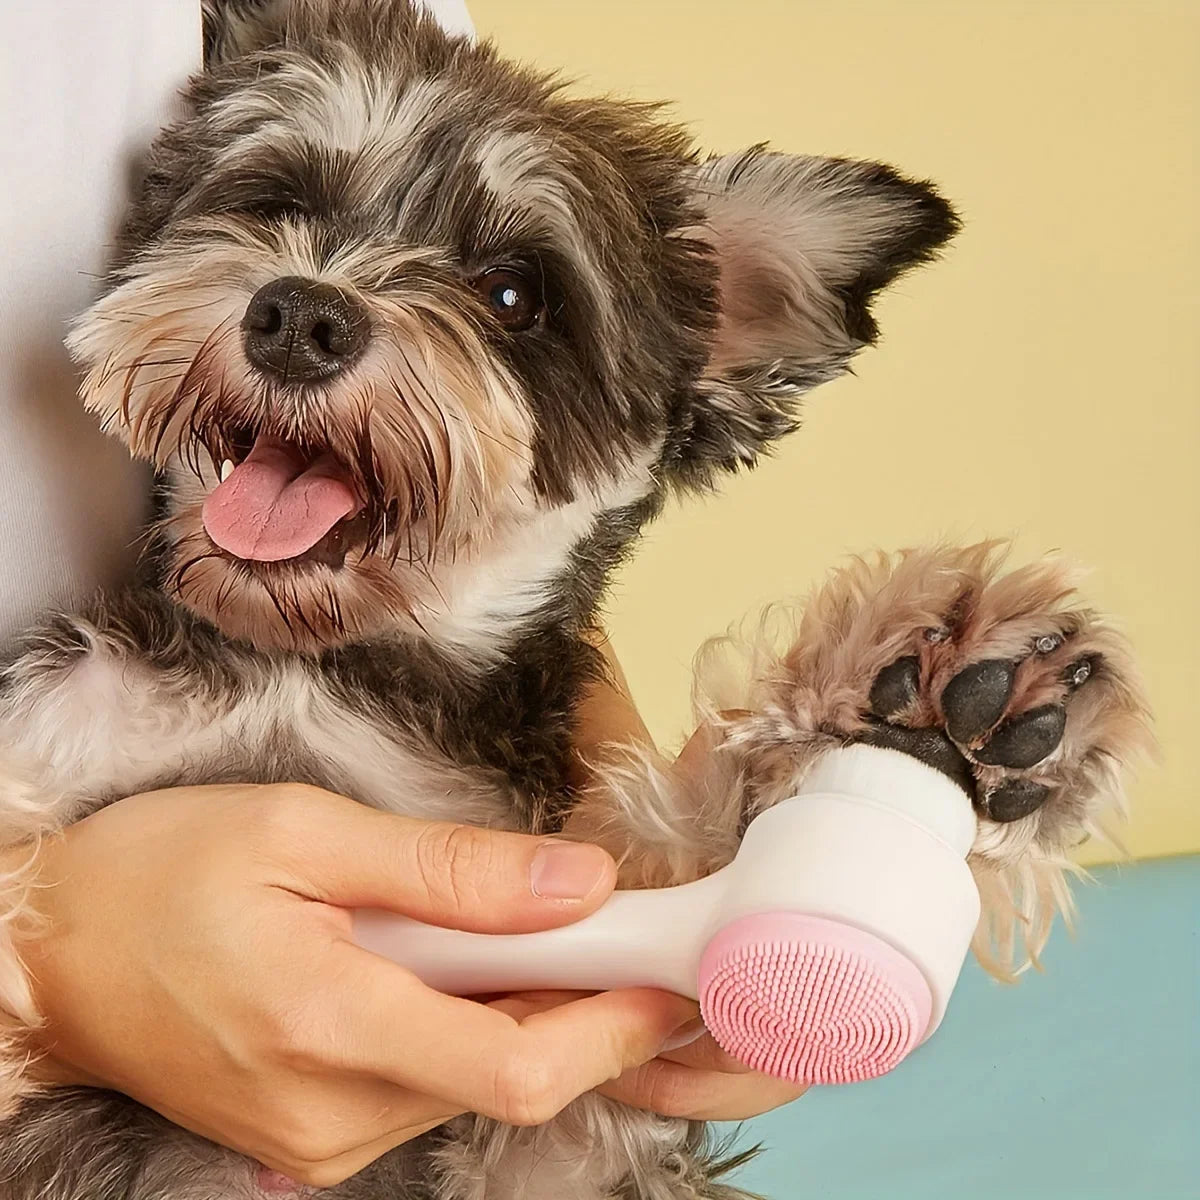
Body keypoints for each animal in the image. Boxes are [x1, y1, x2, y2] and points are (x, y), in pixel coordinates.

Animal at [0, 2, 1152, 1200]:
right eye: (278, 201)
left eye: (514, 293)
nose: (300, 315)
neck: (321, 668)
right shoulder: (65, 723)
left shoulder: (568, 1114)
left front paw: (905, 710)